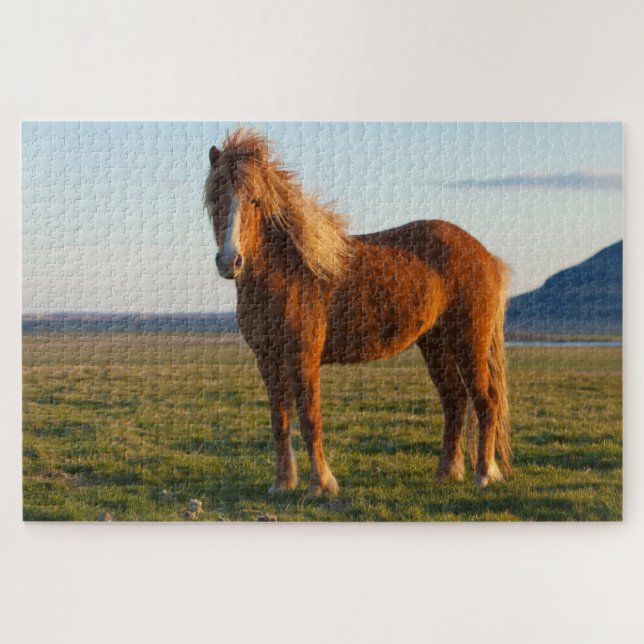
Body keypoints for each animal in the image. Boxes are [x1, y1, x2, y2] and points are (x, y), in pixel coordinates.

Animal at [204, 127, 511, 496]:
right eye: (214, 199)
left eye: (255, 200)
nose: (229, 261)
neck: (287, 272)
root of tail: (484, 254)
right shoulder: (267, 360)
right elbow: (280, 421)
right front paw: (283, 483)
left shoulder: (303, 358)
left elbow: (310, 419)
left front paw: (322, 484)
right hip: (435, 344)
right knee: (454, 401)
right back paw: (447, 472)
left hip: (468, 341)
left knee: (486, 400)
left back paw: (484, 474)